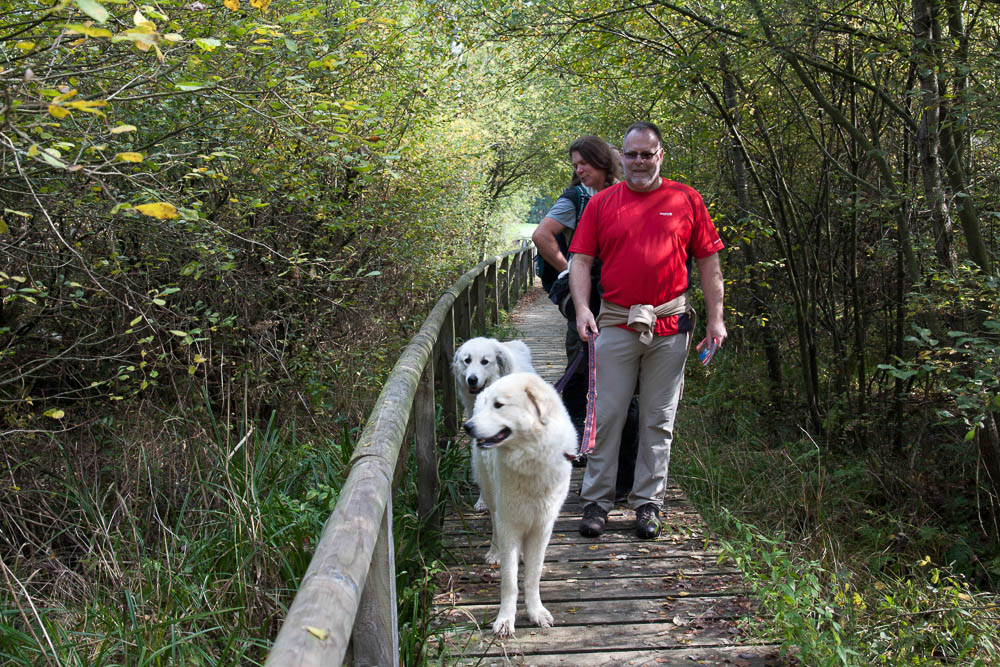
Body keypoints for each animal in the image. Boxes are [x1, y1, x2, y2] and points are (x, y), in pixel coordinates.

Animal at [462, 374, 580, 640]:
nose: (467, 427)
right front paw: (505, 620)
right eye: (489, 404)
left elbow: (533, 576)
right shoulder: (509, 523)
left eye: (499, 405)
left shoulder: (542, 526)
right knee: (494, 524)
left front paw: (536, 612)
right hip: (492, 497)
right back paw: (494, 553)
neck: (531, 458)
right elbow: (510, 580)